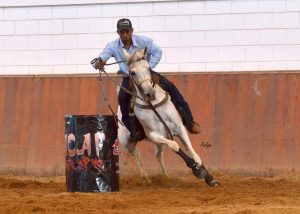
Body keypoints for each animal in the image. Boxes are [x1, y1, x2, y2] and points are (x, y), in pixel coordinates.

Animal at [118, 47, 220, 186]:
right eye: (132, 73)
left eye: (148, 67)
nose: (150, 93)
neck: (154, 106)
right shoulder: (154, 135)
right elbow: (175, 146)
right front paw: (196, 169)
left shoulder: (179, 128)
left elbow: (191, 150)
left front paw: (208, 176)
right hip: (128, 143)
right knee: (136, 153)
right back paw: (146, 178)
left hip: (158, 142)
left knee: (157, 154)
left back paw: (165, 176)